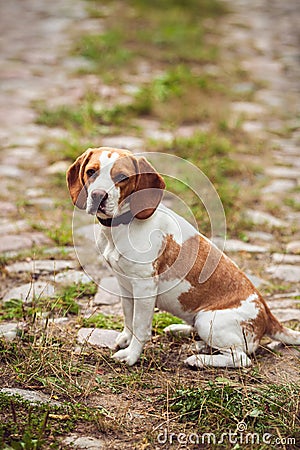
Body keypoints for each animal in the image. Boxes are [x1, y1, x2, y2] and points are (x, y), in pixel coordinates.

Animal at [66, 146, 300, 368]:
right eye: (91, 172)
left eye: (122, 177)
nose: (98, 195)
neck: (123, 225)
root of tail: (267, 316)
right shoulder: (125, 285)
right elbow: (129, 319)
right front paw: (125, 339)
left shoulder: (144, 288)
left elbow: (140, 327)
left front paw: (131, 356)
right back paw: (190, 338)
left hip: (208, 319)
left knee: (241, 358)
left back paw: (199, 360)